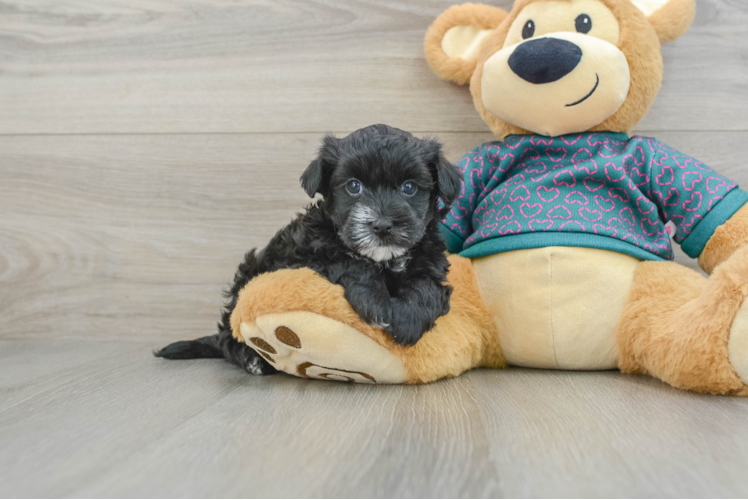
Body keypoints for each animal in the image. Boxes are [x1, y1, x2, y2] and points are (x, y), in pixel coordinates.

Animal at [156, 124, 462, 376]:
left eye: (409, 187)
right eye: (354, 186)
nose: (382, 225)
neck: (384, 259)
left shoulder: (430, 260)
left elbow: (427, 286)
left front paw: (409, 320)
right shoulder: (305, 254)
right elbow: (351, 262)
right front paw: (376, 302)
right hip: (246, 277)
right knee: (227, 337)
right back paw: (251, 359)